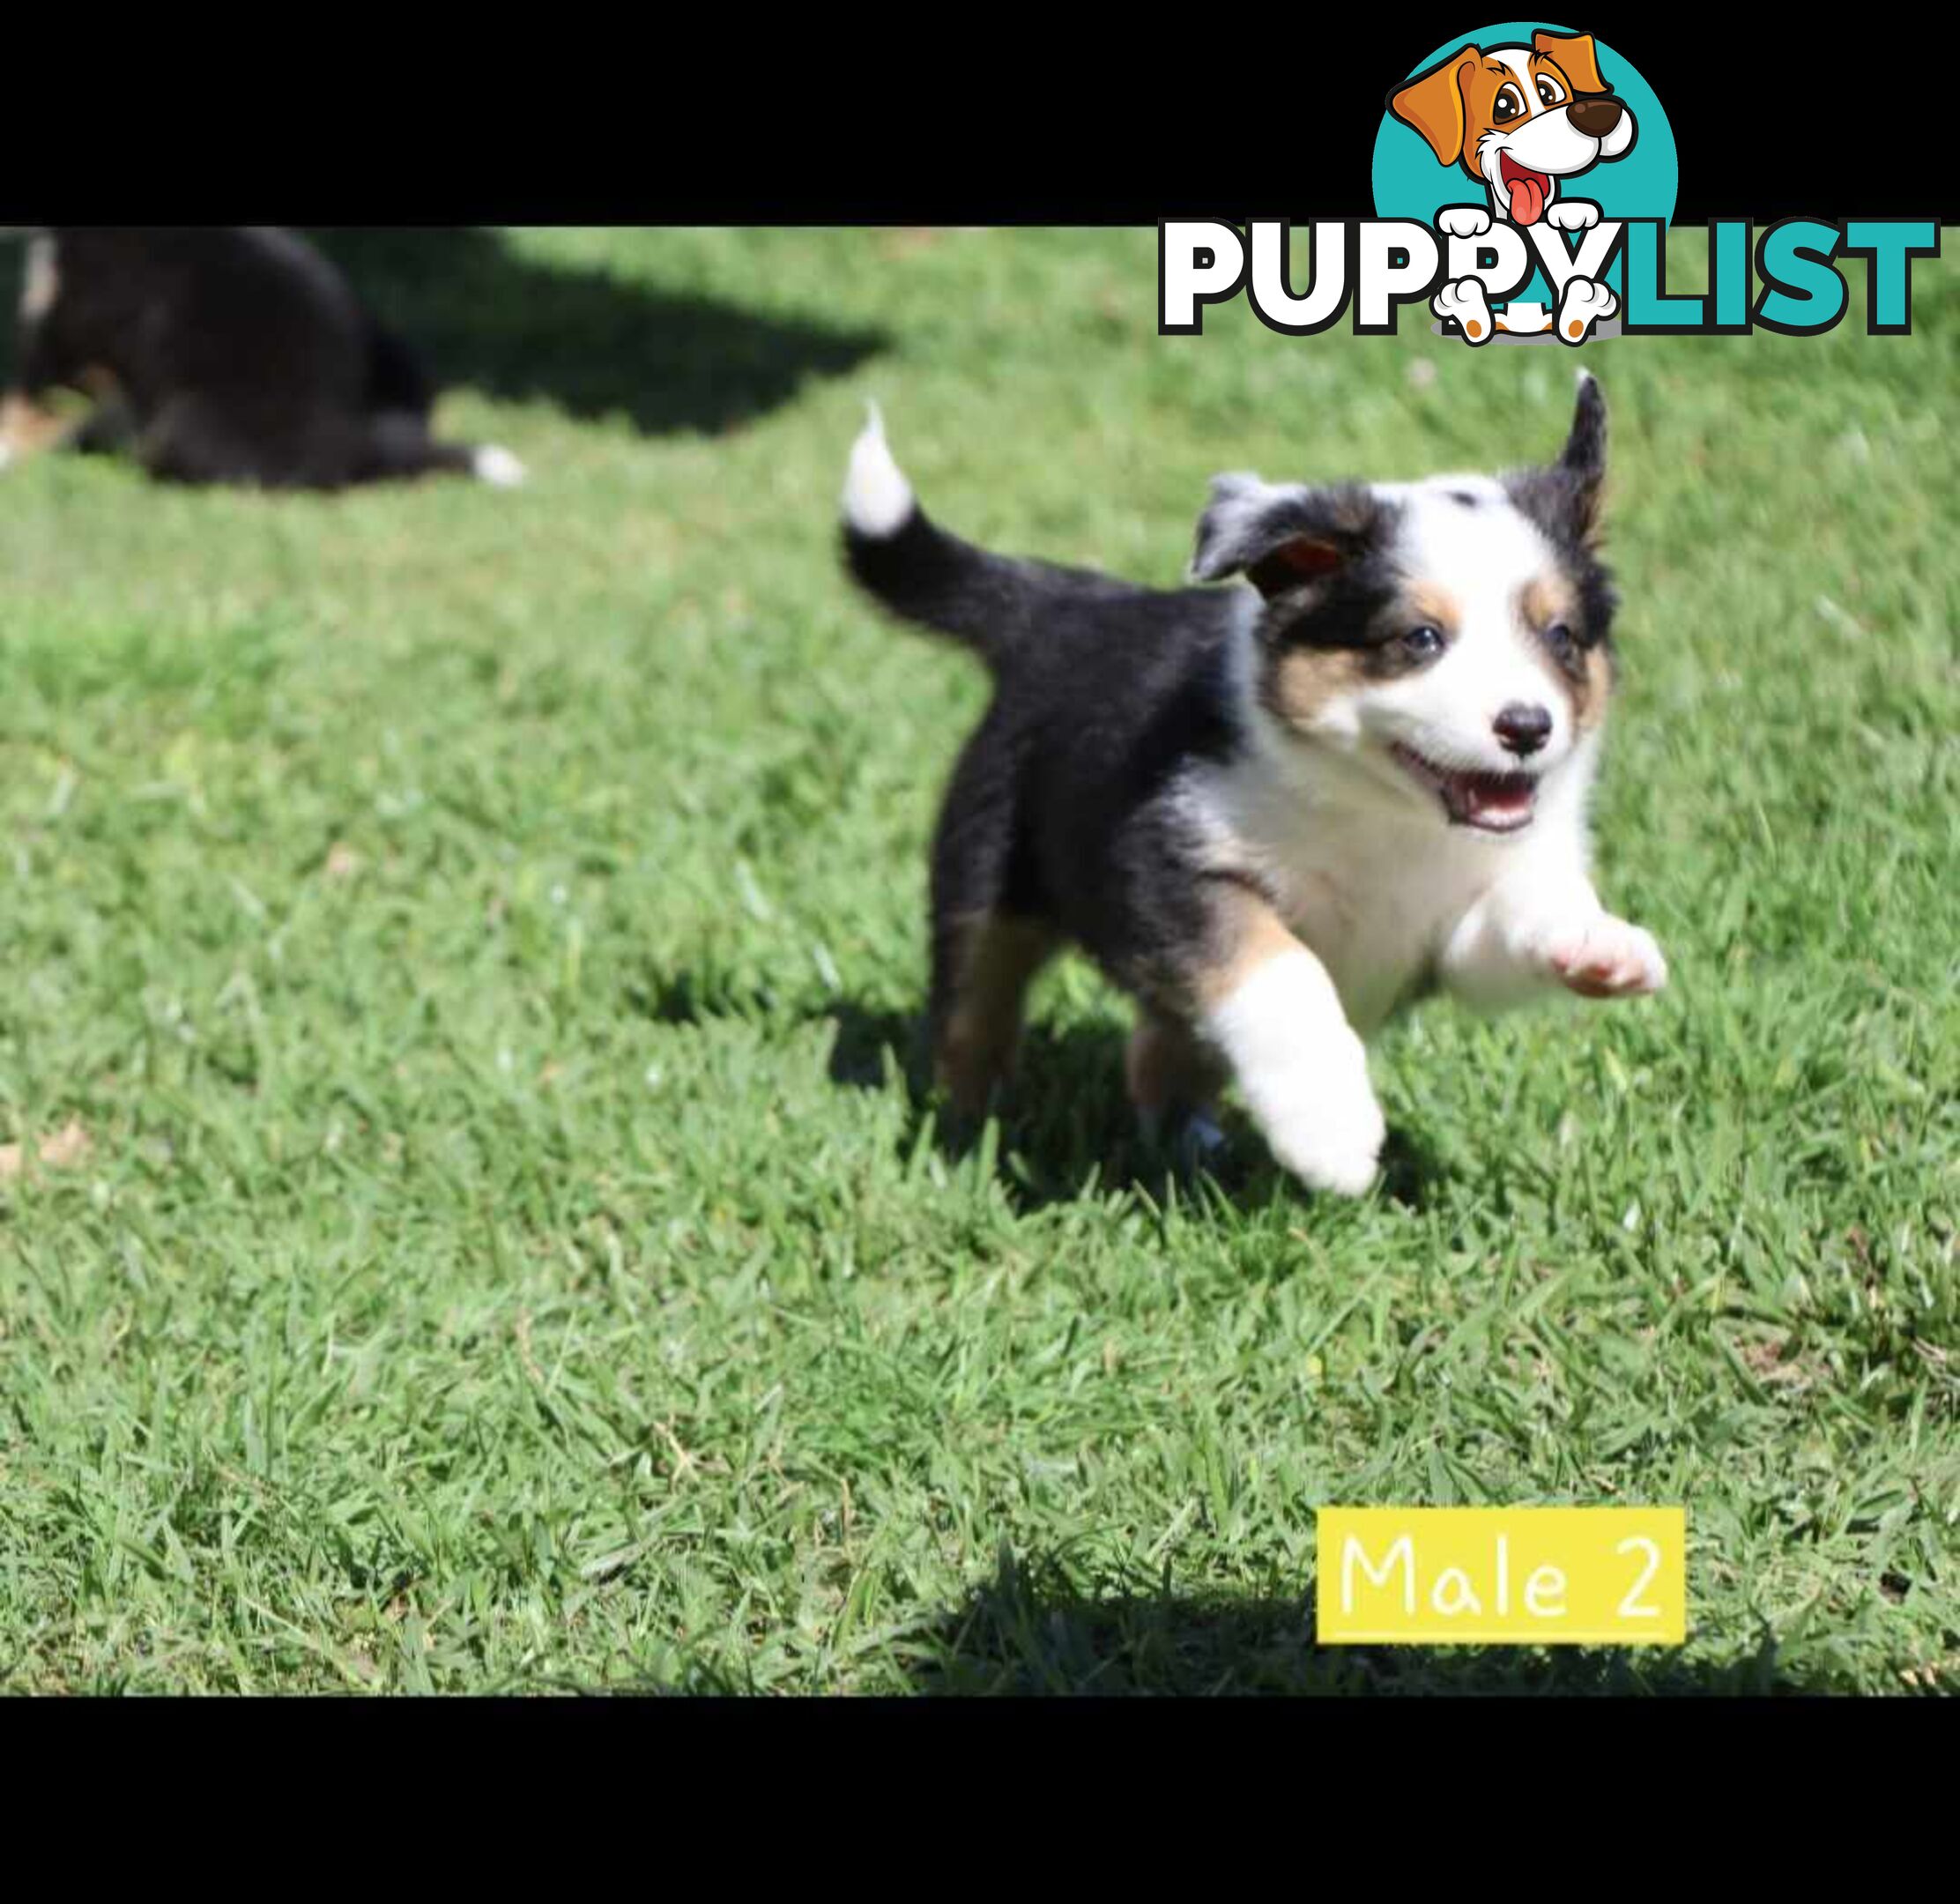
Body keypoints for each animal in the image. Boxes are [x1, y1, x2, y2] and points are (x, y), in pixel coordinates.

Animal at [843, 378, 1669, 1200]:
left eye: (1561, 636)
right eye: (1421, 639)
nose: (1528, 727)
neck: (1383, 810)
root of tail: (1069, 607)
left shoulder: (1449, 935)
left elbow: (1517, 914)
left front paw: (1597, 943)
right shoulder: (1170, 861)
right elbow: (1281, 971)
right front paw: (1332, 1135)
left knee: (1157, 1047)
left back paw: (1193, 1145)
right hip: (986, 874)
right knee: (973, 1014)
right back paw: (968, 1137)